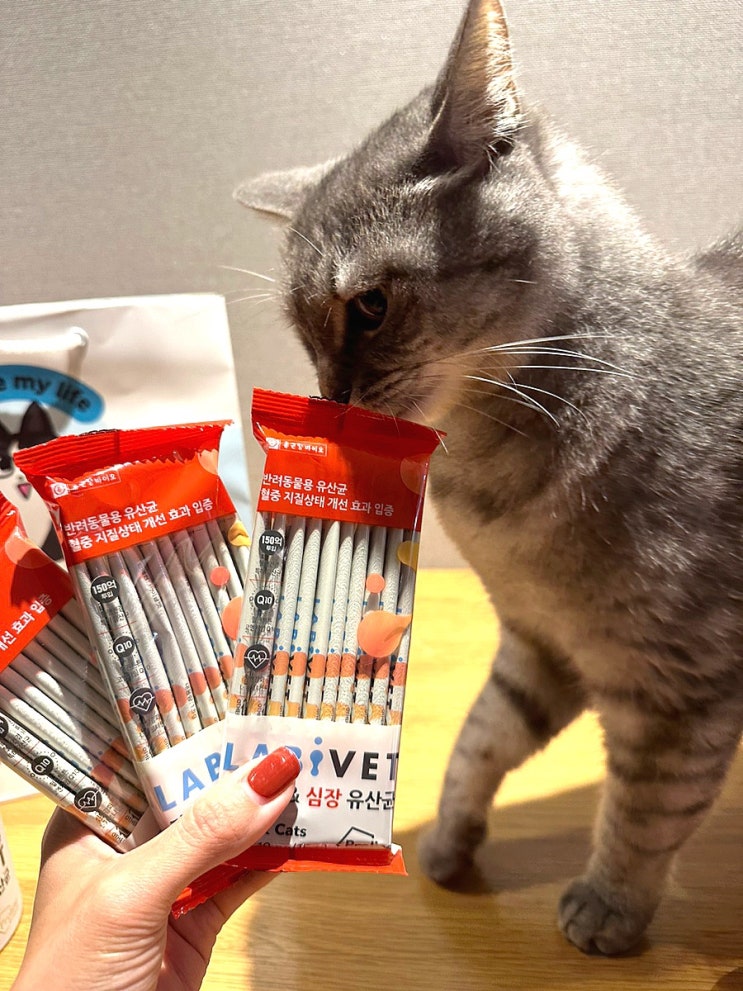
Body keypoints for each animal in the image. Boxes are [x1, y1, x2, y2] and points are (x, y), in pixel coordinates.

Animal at [235, 0, 742, 956]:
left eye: (369, 306)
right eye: (302, 330)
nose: (330, 396)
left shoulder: (673, 691)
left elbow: (643, 811)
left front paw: (608, 909)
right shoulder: (538, 647)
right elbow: (478, 740)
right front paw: (445, 843)